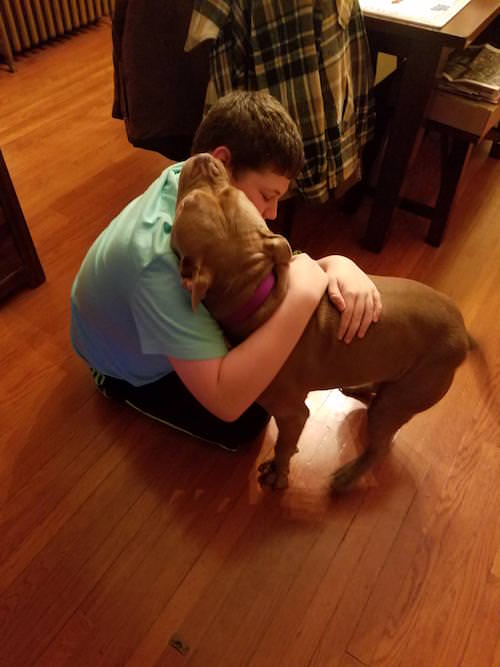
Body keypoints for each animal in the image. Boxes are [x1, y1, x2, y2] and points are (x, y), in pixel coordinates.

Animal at [171, 153, 472, 490]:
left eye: (187, 204)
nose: (204, 158)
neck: (256, 291)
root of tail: (462, 332)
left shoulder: (292, 413)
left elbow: (284, 444)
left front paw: (279, 473)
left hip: (403, 398)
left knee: (380, 446)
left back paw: (347, 477)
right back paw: (360, 387)